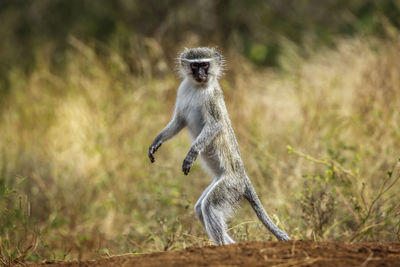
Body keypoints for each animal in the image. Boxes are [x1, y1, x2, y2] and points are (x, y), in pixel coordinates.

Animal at [148, 47, 290, 245]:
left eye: (205, 65)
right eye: (195, 65)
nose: (200, 74)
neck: (197, 87)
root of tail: (242, 176)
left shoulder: (212, 98)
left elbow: (215, 125)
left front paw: (191, 154)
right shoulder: (182, 89)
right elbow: (178, 121)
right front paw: (156, 141)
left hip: (230, 185)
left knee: (209, 206)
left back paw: (222, 244)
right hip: (220, 181)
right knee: (200, 208)